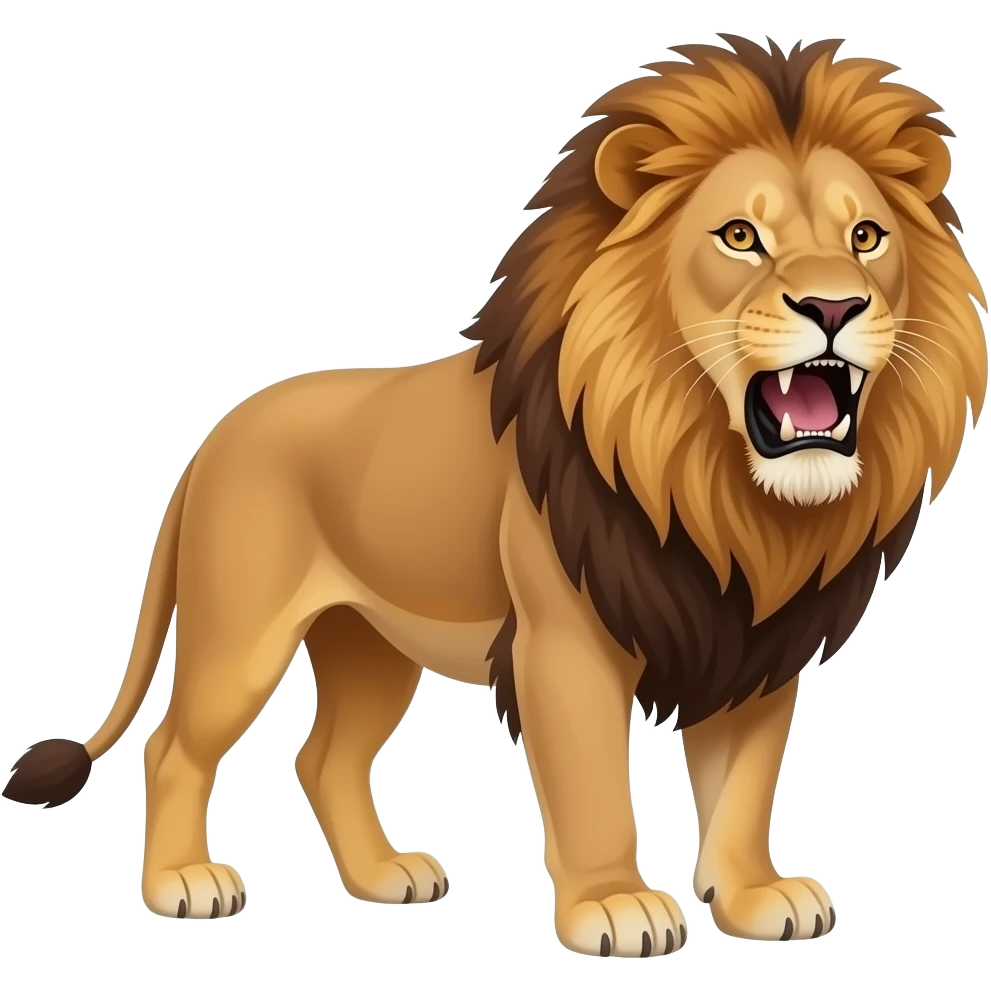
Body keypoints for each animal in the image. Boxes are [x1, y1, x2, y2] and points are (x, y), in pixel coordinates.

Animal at [3, 34, 986, 954]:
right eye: (739, 236)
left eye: (866, 238)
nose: (833, 307)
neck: (715, 488)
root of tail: (215, 435)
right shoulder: (564, 644)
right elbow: (594, 788)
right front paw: (613, 906)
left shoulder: (753, 638)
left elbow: (742, 786)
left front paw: (753, 896)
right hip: (239, 636)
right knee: (175, 745)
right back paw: (182, 883)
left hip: (369, 642)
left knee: (323, 757)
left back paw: (384, 876)